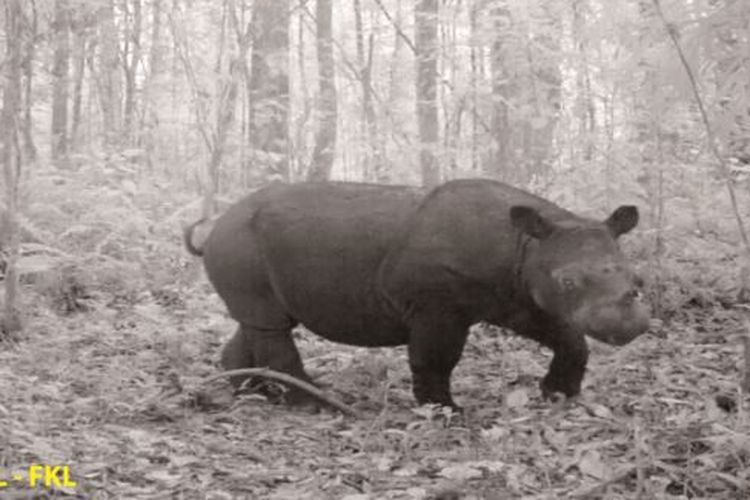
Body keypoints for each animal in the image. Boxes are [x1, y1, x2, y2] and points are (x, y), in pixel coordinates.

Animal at [184, 182, 652, 408]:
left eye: (637, 279)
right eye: (568, 282)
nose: (629, 326)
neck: (527, 244)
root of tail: (214, 225)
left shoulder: (518, 298)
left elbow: (566, 335)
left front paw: (558, 394)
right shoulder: (435, 305)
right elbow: (436, 358)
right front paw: (444, 412)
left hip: (247, 246)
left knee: (259, 319)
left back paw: (253, 393)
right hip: (239, 240)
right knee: (269, 323)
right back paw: (314, 404)